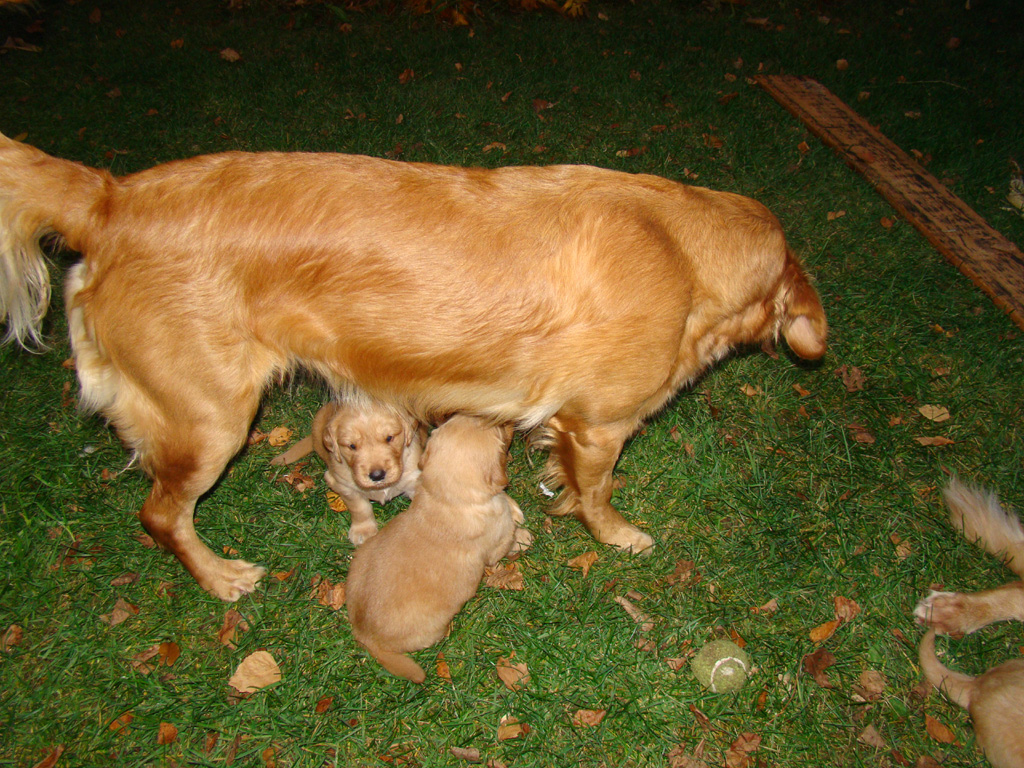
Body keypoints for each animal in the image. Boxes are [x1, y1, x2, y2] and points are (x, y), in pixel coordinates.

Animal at [270, 399, 425, 544]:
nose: (377, 475)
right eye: (352, 446)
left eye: (389, 438)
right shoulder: (345, 486)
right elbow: (360, 509)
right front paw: (363, 531)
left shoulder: (414, 478)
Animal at [346, 417, 524, 684]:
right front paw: (522, 536)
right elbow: (507, 536)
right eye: (498, 430)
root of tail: (365, 636)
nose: (509, 420)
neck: (447, 498)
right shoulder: (496, 542)